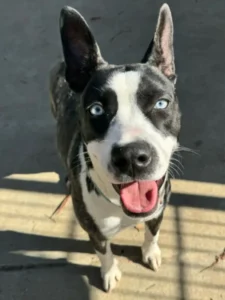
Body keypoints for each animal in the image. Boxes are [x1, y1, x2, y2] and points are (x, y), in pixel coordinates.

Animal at [48, 3, 181, 292]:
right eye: (96, 110)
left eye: (161, 103)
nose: (132, 156)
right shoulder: (94, 231)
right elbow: (104, 252)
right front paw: (109, 272)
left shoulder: (159, 211)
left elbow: (152, 233)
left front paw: (151, 252)